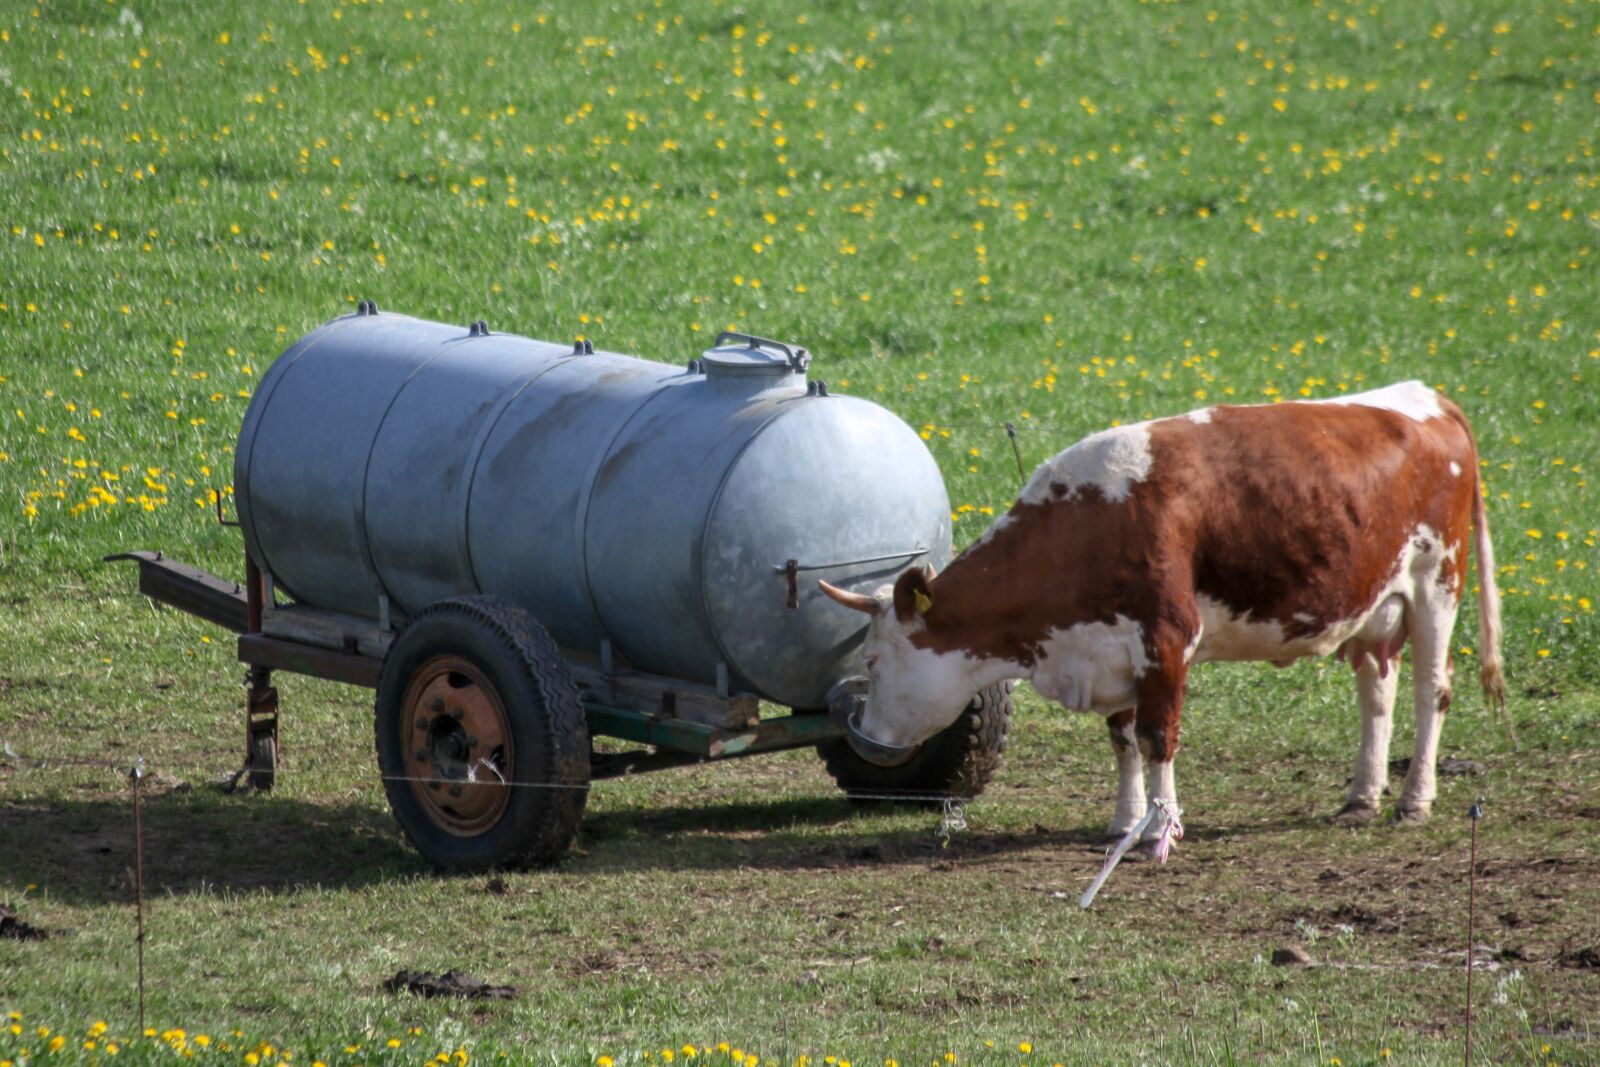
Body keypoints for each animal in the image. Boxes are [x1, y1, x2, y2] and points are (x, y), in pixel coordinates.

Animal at [819, 383, 1504, 851]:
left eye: (873, 658)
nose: (866, 737)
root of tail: (1424, 398)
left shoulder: (1166, 643)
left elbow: (1158, 740)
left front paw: (1158, 829)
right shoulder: (1109, 652)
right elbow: (1123, 741)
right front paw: (1122, 819)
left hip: (1437, 585)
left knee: (1431, 690)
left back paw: (1414, 799)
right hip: (1374, 608)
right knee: (1376, 691)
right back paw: (1362, 796)